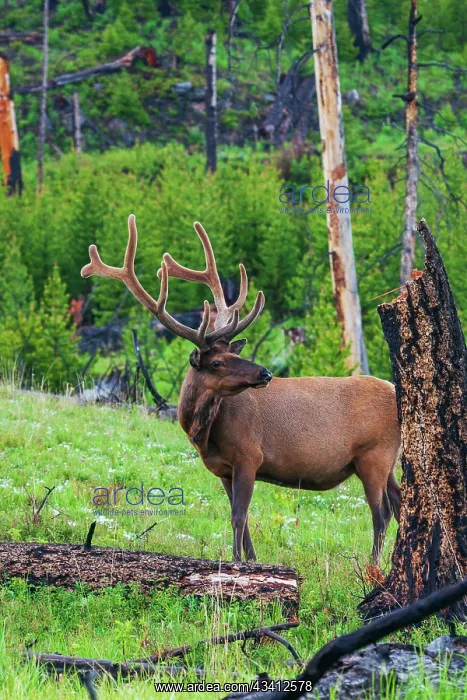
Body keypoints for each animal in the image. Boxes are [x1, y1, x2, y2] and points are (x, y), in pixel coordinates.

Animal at [82, 215, 401, 564]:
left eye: (233, 355)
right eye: (218, 361)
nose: (265, 372)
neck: (205, 433)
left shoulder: (249, 455)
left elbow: (238, 515)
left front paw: (237, 562)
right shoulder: (224, 469)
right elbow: (243, 519)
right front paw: (251, 560)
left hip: (374, 454)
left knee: (382, 512)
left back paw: (374, 565)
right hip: (388, 460)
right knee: (401, 504)